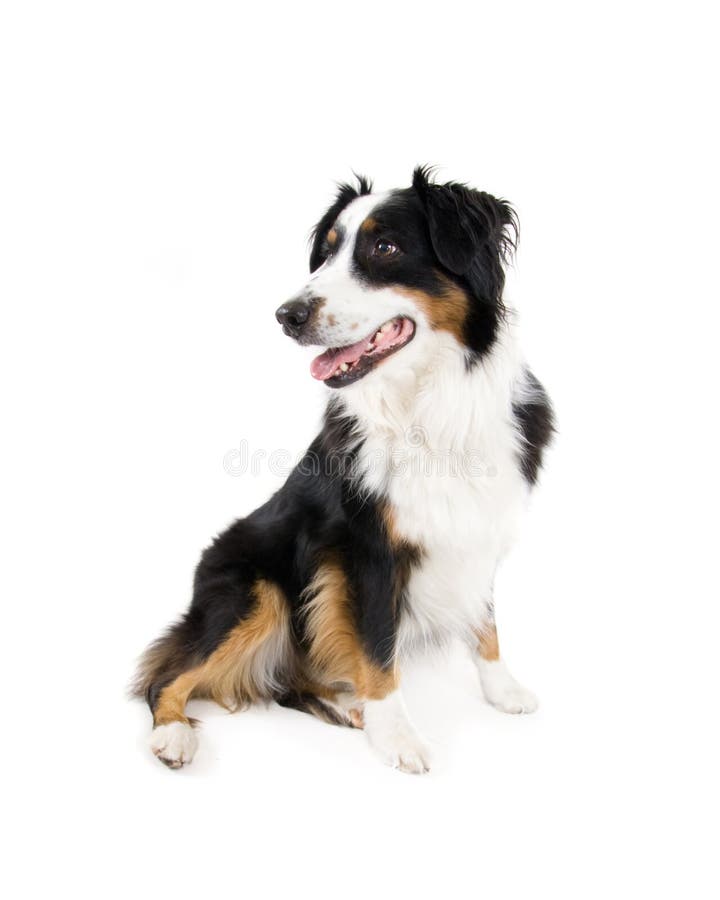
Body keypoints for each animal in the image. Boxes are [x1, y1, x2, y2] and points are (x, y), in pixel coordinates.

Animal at [134, 167, 552, 772]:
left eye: (385, 248)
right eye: (327, 254)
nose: (287, 316)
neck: (428, 404)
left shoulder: (478, 526)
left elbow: (486, 621)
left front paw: (502, 690)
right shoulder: (365, 549)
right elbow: (378, 646)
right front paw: (398, 734)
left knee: (285, 683)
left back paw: (344, 706)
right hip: (256, 591)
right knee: (167, 675)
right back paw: (173, 734)